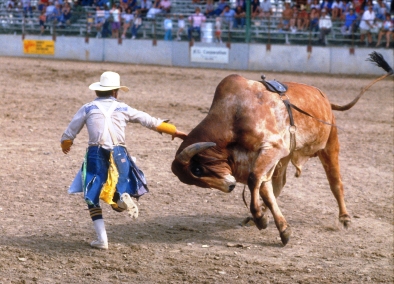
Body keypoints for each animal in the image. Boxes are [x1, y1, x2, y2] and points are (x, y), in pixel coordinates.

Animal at [171, 52, 392, 245]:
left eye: (197, 169)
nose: (231, 186)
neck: (234, 113)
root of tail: (326, 100)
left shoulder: (273, 148)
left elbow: (255, 181)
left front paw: (261, 218)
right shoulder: (266, 157)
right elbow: (264, 189)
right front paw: (276, 225)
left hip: (330, 146)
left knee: (335, 182)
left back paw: (345, 218)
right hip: (286, 159)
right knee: (278, 184)